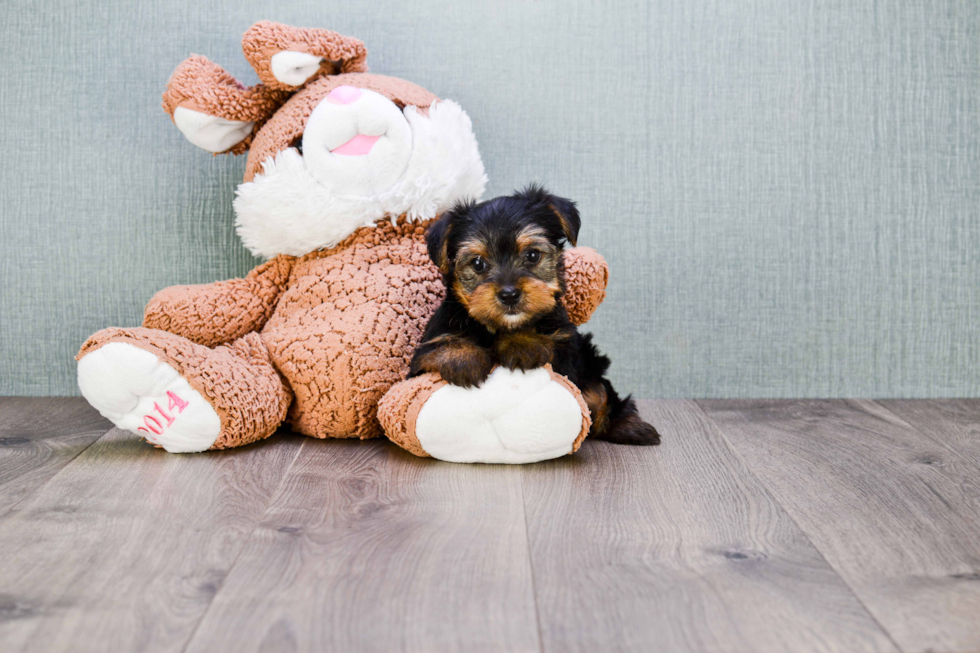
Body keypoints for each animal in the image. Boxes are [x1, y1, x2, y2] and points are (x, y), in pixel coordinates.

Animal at [406, 186, 660, 446]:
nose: (509, 294)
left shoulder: (567, 349)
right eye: (477, 263)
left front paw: (522, 343)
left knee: (601, 394)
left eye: (532, 255)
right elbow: (438, 348)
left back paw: (632, 427)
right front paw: (463, 358)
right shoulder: (421, 357)